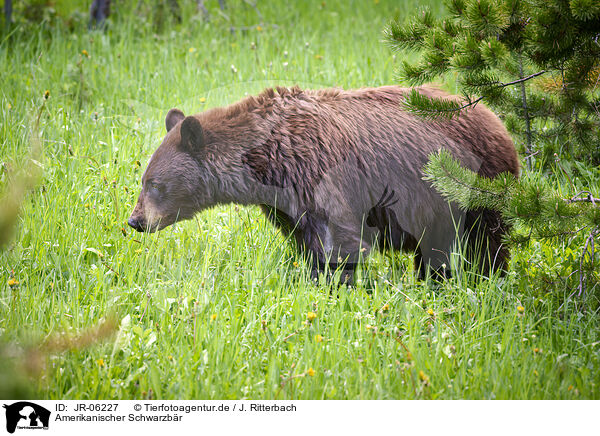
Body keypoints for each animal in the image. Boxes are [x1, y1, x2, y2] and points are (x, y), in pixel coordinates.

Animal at [127, 86, 520, 282]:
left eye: (155, 184)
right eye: (143, 180)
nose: (135, 220)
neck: (268, 159)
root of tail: (495, 118)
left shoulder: (323, 175)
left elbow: (341, 240)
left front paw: (337, 286)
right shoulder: (288, 203)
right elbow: (304, 240)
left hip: (475, 186)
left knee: (485, 243)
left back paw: (487, 280)